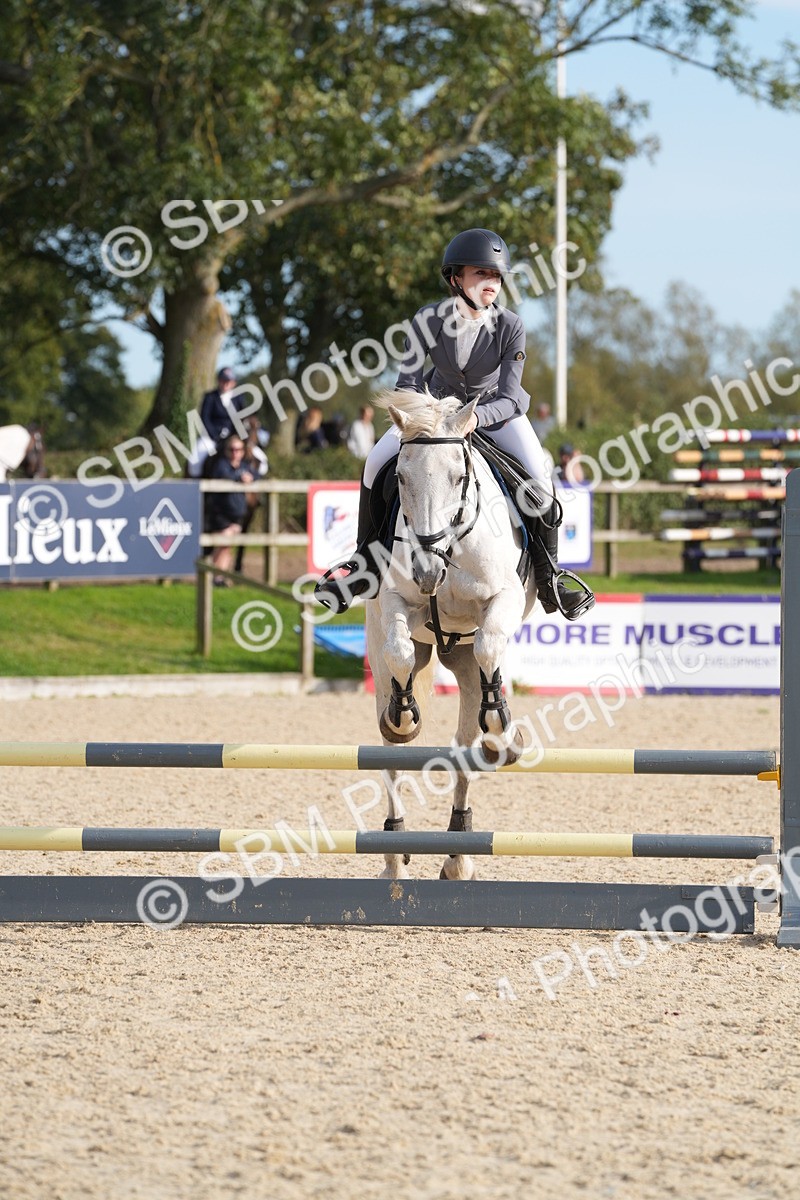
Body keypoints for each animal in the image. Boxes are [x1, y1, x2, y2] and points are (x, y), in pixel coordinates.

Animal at [365, 389, 538, 883]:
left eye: (459, 477)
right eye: (400, 478)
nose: (427, 573)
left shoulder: (503, 599)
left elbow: (490, 647)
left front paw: (503, 735)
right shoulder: (393, 601)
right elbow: (401, 655)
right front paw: (403, 715)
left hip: (462, 663)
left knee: (466, 740)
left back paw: (458, 854)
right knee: (390, 754)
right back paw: (395, 857)